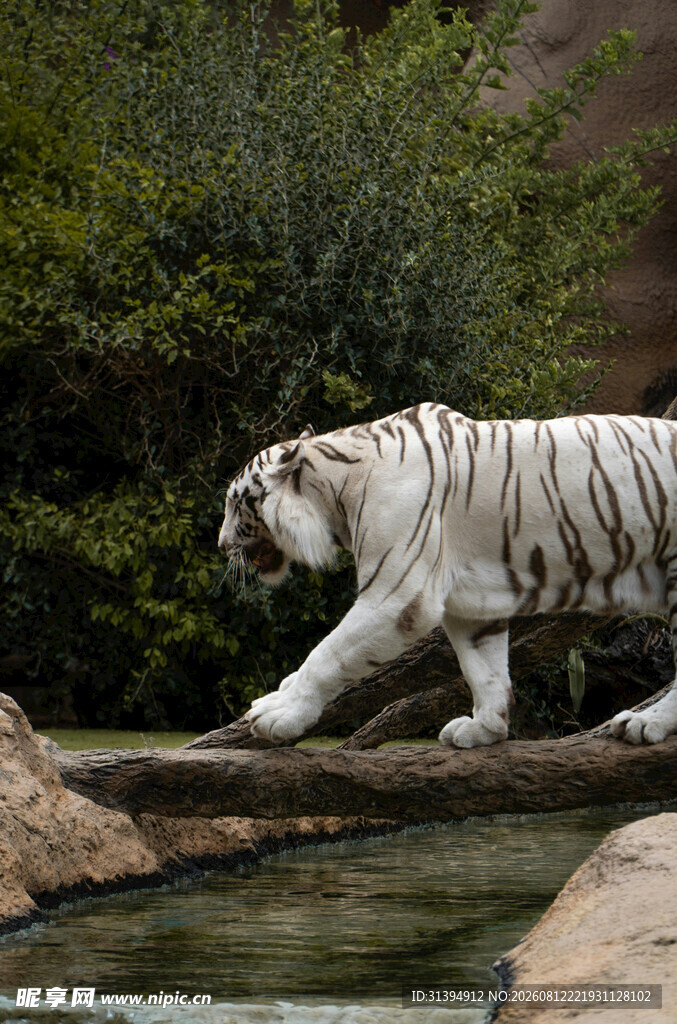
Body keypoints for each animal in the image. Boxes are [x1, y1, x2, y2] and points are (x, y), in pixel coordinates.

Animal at [218, 403, 677, 748]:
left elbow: (327, 654)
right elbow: (484, 669)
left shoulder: (397, 596)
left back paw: (645, 723)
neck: (337, 490)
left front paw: (278, 713)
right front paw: (485, 729)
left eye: (235, 503)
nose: (221, 545)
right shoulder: (472, 605)